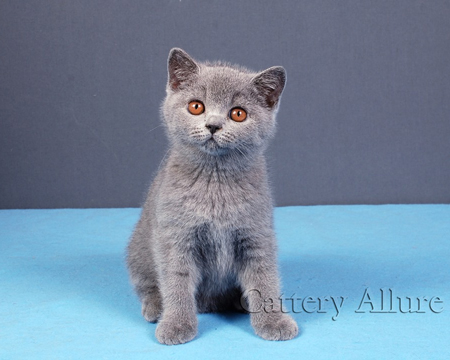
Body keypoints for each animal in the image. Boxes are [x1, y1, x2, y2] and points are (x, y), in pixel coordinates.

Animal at [125, 47, 298, 344]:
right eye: (196, 106)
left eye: (238, 113)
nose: (213, 125)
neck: (215, 181)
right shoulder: (175, 237)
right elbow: (176, 281)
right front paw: (177, 324)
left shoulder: (256, 234)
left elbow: (264, 277)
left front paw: (274, 320)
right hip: (138, 250)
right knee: (147, 284)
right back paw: (156, 307)